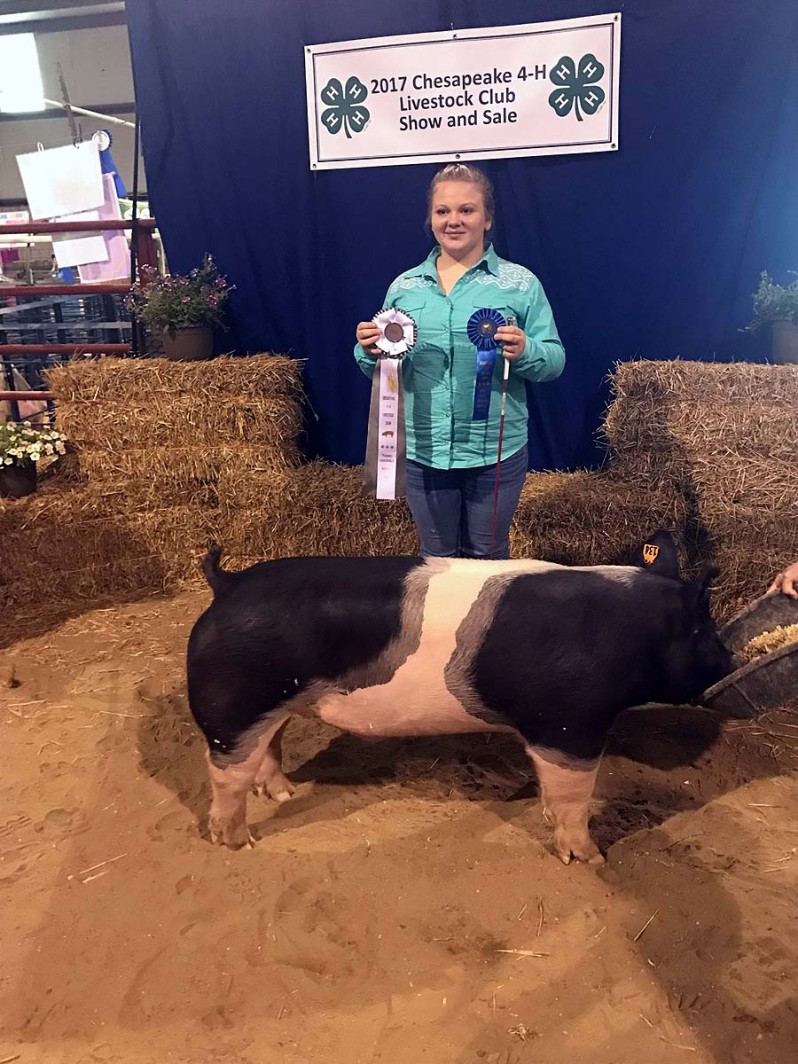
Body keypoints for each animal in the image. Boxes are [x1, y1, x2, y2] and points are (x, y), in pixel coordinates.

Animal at [186, 532, 732, 863]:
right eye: (704, 631)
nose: (729, 657)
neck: (632, 632)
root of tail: (227, 584)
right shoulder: (571, 723)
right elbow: (574, 796)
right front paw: (590, 858)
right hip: (231, 707)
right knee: (225, 776)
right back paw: (241, 842)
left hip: (272, 701)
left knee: (269, 747)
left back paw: (283, 794)